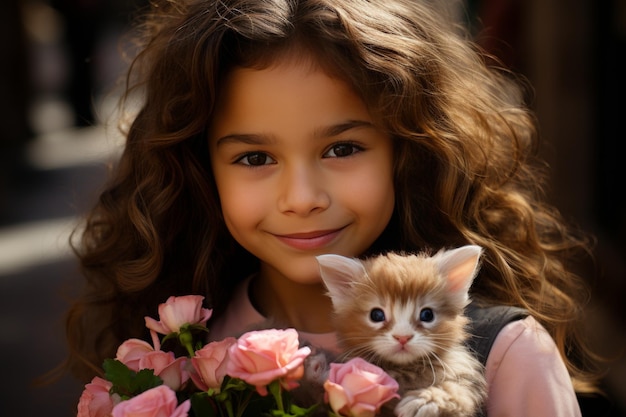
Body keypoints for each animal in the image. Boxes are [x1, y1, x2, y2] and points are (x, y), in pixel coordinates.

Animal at [314, 244, 486, 416]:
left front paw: (424, 401)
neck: (404, 370)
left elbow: (457, 390)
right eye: (376, 315)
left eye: (427, 315)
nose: (403, 337)